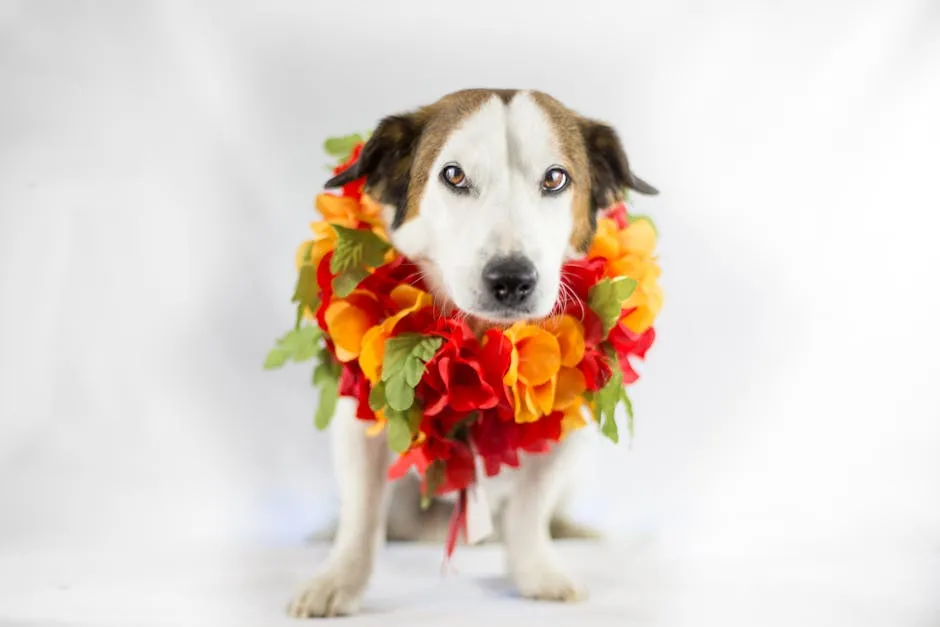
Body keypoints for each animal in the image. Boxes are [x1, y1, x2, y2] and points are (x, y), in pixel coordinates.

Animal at [290, 88, 656, 620]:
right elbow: (361, 514)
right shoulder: (360, 420)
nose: (512, 279)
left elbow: (530, 511)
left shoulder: (566, 433)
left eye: (556, 178)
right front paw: (339, 579)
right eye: (454, 175)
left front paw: (536, 572)